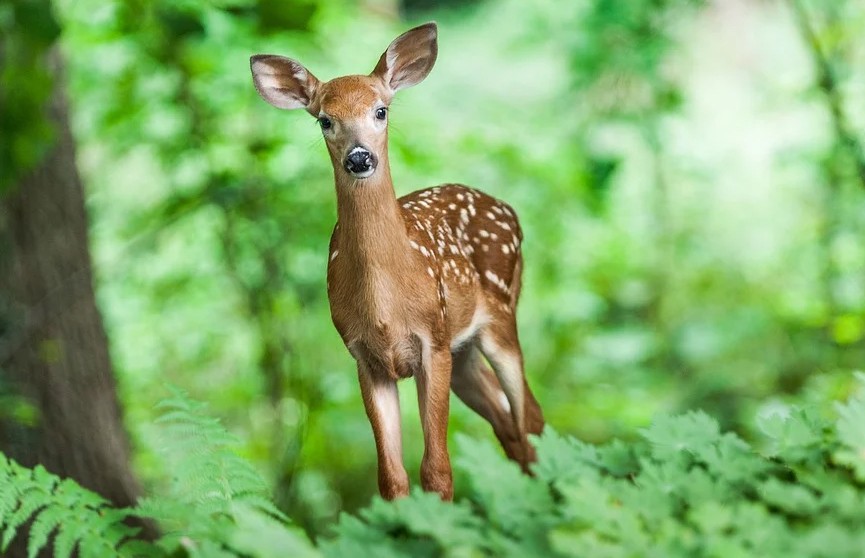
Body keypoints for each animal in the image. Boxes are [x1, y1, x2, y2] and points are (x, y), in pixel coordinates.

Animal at [250, 23, 544, 504]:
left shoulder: (432, 341)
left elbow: (437, 470)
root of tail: (508, 210)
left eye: (381, 111)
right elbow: (391, 478)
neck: (386, 304)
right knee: (508, 423)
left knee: (529, 418)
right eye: (324, 119)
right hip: (464, 351)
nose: (359, 158)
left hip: (499, 316)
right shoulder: (364, 357)